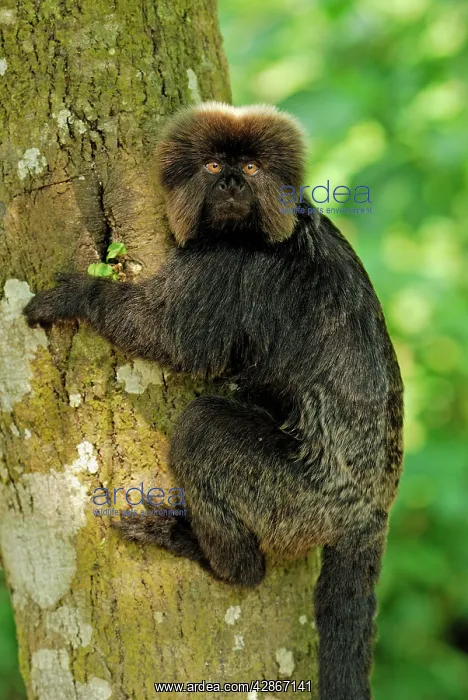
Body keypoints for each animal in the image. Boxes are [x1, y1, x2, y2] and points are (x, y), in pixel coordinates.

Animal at [23, 101, 404, 700]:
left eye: (247, 169)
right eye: (212, 166)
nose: (229, 185)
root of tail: (372, 505)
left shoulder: (228, 266)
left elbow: (171, 339)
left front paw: (81, 296)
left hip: (301, 499)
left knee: (203, 429)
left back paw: (219, 560)